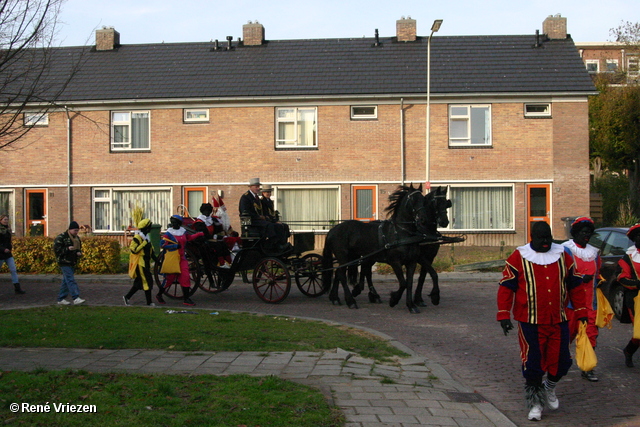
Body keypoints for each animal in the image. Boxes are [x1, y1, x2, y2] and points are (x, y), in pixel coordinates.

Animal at [324, 184, 430, 314]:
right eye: (413, 200)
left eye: (424, 200)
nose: (424, 219)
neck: (401, 232)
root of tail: (333, 230)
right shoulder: (395, 262)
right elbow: (403, 283)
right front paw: (393, 300)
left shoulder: (411, 262)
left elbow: (409, 284)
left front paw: (411, 305)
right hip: (344, 257)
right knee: (341, 275)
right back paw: (351, 301)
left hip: (351, 257)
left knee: (338, 273)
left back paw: (335, 298)